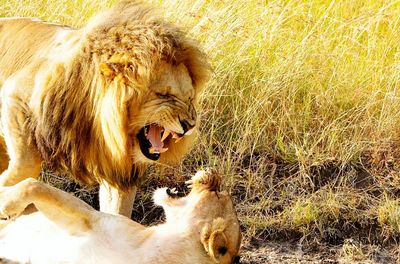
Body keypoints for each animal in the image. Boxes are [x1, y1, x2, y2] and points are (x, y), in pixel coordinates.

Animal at [0, 1, 209, 217]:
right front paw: (7, 191)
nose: (189, 126)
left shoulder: (117, 167)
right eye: (163, 94)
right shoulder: (15, 94)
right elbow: (26, 163)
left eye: (189, 98)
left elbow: (117, 211)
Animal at [0, 170, 241, 262]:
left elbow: (34, 185)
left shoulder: (88, 220)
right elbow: (34, 185)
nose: (212, 172)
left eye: (218, 194)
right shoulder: (92, 219)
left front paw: (5, 204)